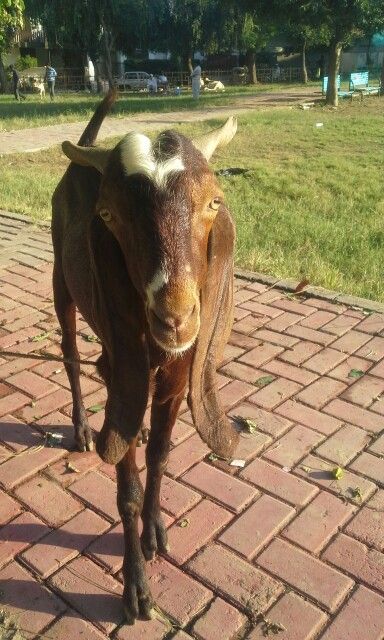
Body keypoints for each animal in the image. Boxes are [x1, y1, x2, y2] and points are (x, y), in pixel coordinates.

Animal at [53, 89, 240, 620]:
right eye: (109, 216)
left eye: (213, 202)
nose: (174, 316)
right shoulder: (123, 374)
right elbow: (127, 490)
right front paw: (135, 587)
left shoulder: (177, 378)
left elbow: (159, 454)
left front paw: (156, 529)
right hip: (61, 283)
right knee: (70, 352)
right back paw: (80, 428)